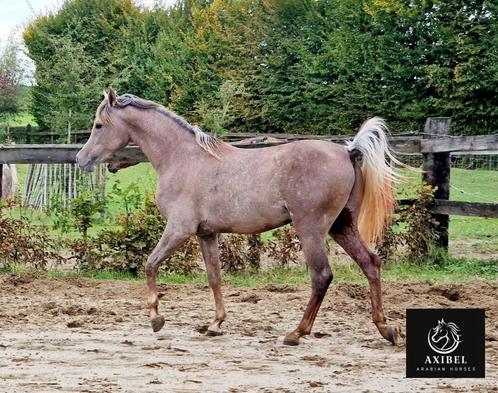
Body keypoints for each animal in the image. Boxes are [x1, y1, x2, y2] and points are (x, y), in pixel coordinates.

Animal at [79, 87, 404, 344]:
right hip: (341, 226)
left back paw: (296, 333)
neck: (183, 158)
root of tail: (348, 151)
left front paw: (156, 319)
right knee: (370, 263)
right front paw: (215, 324)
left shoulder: (179, 229)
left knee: (321, 275)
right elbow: (214, 277)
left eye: (98, 125)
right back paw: (385, 329)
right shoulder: (206, 233)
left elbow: (150, 264)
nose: (81, 159)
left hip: (311, 229)